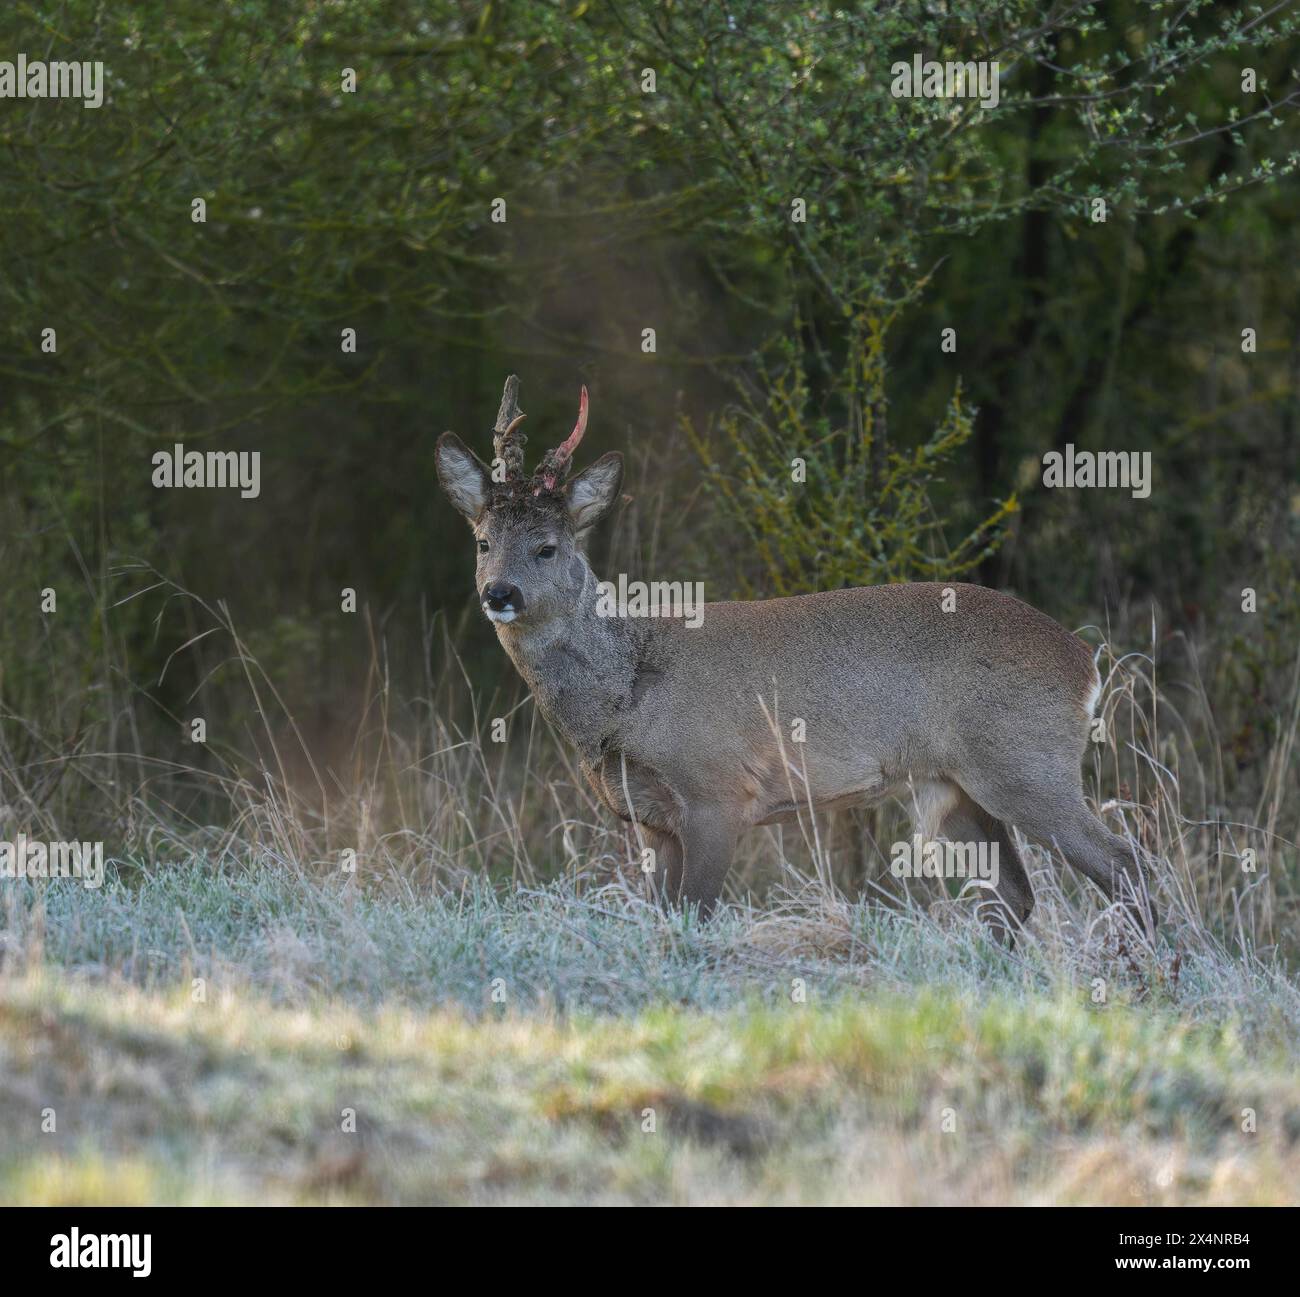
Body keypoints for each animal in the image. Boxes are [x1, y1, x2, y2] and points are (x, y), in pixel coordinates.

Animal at [436, 376, 1159, 946]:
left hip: (1027, 763)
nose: (498, 593)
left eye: (549, 546)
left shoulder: (719, 790)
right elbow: (664, 918)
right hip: (954, 789)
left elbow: (696, 914)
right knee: (1014, 893)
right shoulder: (649, 820)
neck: (628, 691)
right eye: (482, 541)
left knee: (1126, 863)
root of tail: (1086, 663)